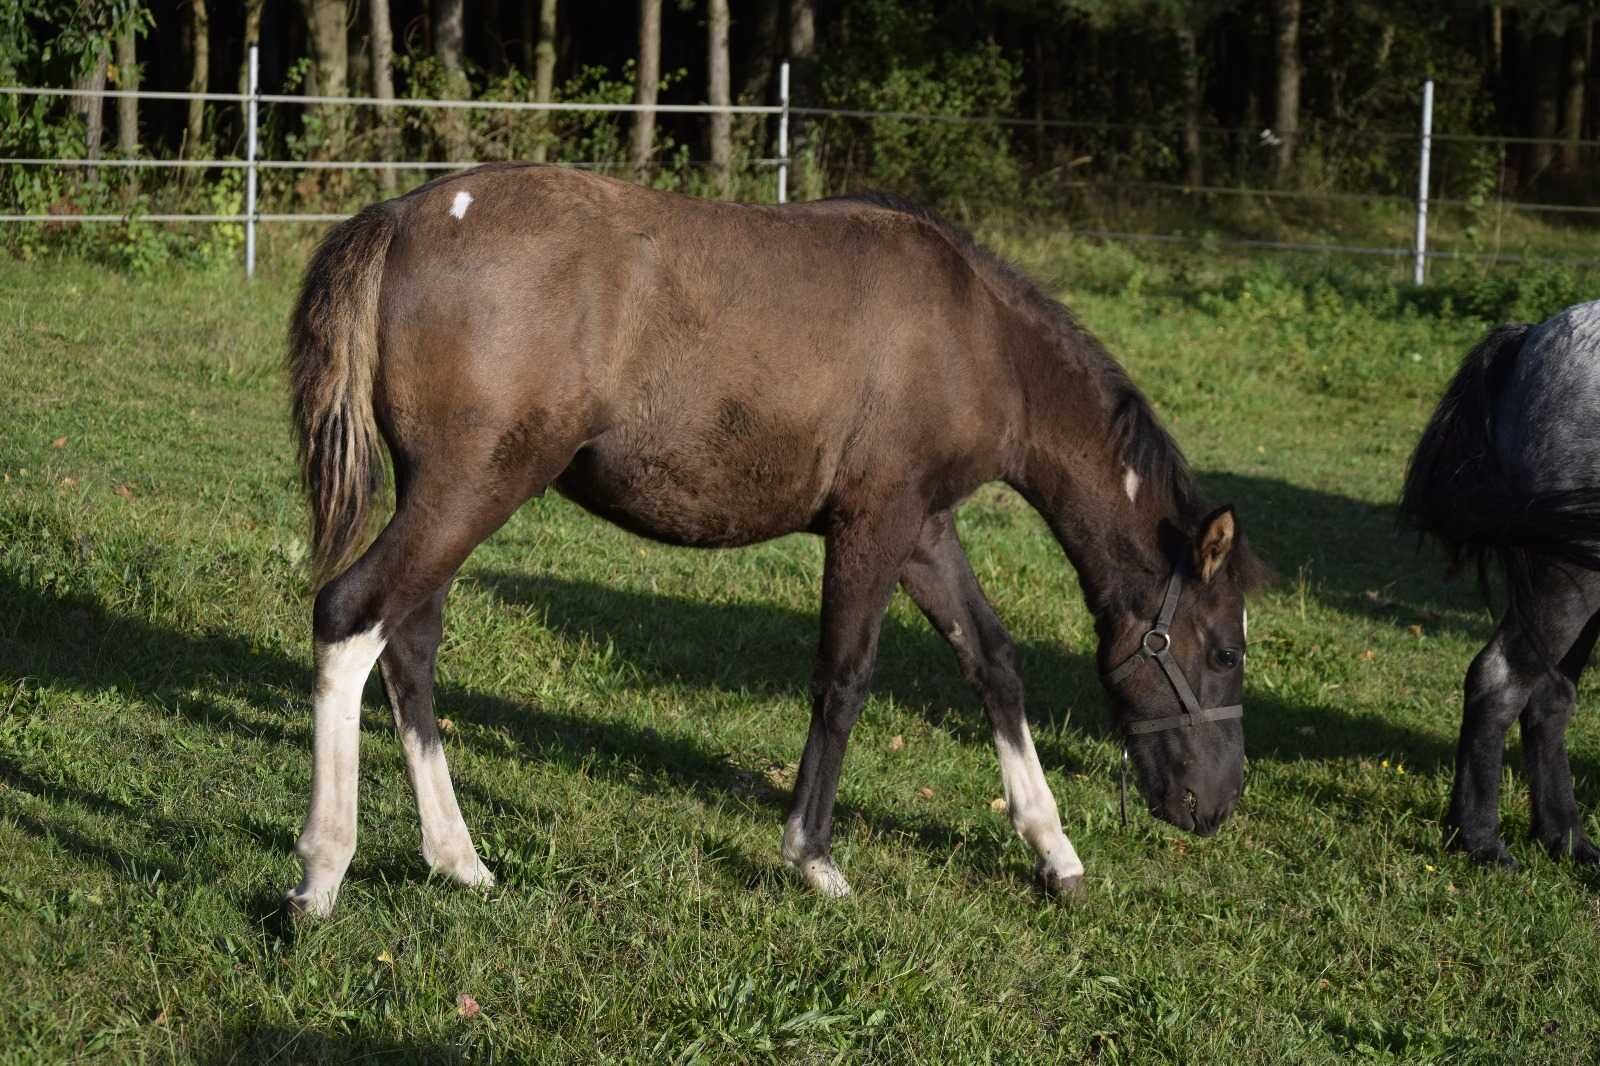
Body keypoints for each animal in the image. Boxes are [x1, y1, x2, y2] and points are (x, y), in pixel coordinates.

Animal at [284, 166, 1260, 915]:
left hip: (453, 497)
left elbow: (993, 662)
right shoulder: (874, 523)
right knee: (349, 615)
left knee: (408, 644)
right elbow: (845, 677)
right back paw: (322, 872)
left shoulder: (924, 529)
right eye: (1222, 652)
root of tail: (402, 216)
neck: (976, 334)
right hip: (469, 491)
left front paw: (1054, 851)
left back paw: (458, 859)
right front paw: (813, 856)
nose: (1215, 806)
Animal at [1408, 299, 1600, 864]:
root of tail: (1533, 334)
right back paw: (1478, 840)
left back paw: (1566, 840)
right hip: (1570, 574)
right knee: (1502, 678)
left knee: (1549, 695)